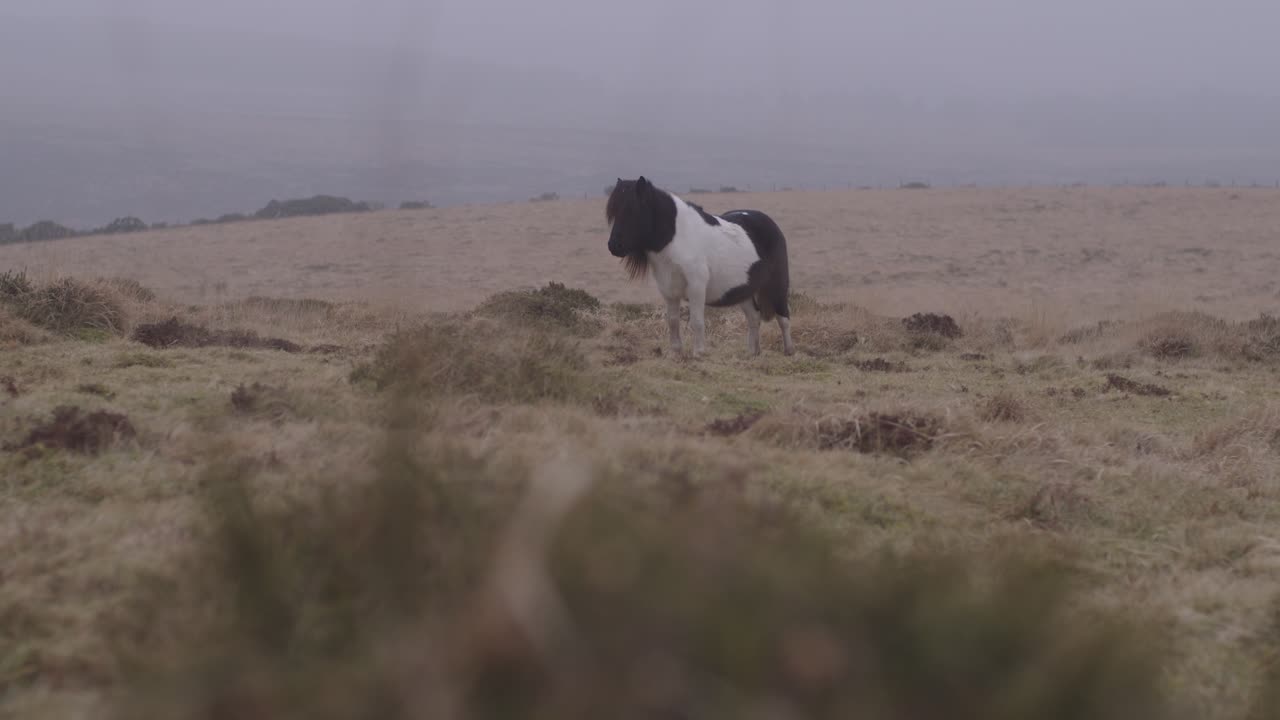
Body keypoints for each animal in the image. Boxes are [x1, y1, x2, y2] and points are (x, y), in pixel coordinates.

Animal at [605, 176, 795, 357]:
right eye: (613, 212)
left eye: (632, 210)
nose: (614, 246)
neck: (677, 238)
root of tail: (771, 224)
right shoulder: (669, 290)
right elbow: (672, 321)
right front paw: (675, 352)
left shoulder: (696, 287)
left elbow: (696, 321)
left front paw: (698, 353)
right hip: (744, 290)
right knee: (754, 318)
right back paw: (752, 352)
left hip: (777, 284)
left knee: (783, 318)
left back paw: (789, 350)